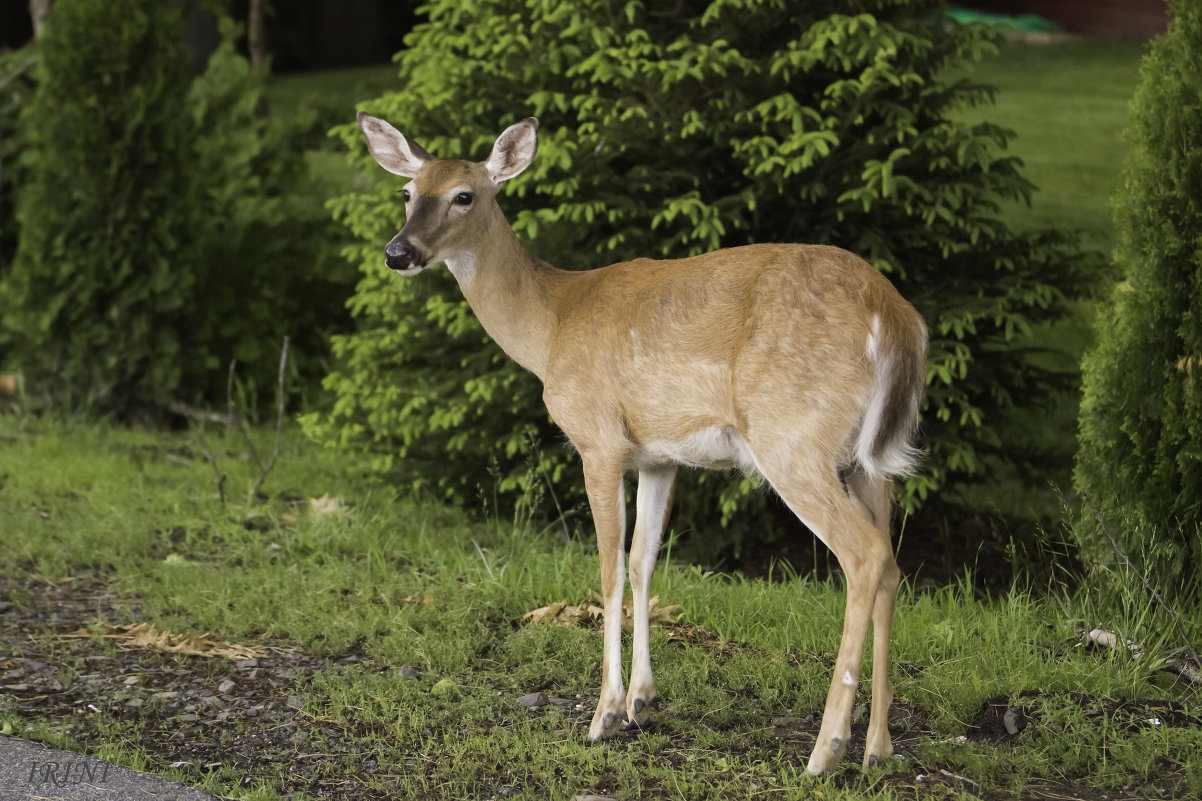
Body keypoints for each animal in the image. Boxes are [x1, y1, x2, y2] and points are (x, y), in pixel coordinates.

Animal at [355, 112, 927, 774]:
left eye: (464, 195)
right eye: (407, 192)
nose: (398, 252)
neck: (550, 328)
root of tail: (896, 317)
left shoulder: (598, 439)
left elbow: (606, 567)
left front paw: (603, 714)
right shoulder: (660, 456)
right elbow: (643, 561)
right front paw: (641, 702)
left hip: (792, 437)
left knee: (864, 556)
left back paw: (826, 749)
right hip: (873, 460)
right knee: (893, 561)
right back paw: (879, 747)